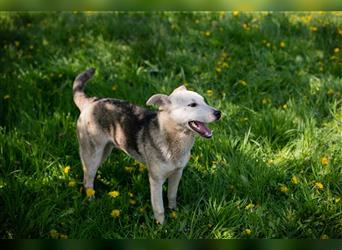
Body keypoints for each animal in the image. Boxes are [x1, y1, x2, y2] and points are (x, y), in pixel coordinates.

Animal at [73, 67, 222, 224]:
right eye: (192, 105)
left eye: (204, 101)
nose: (219, 113)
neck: (173, 139)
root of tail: (91, 102)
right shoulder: (156, 180)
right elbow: (159, 208)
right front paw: (162, 226)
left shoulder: (177, 173)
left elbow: (172, 195)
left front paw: (174, 212)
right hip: (92, 155)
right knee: (87, 179)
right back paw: (91, 200)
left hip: (104, 151)